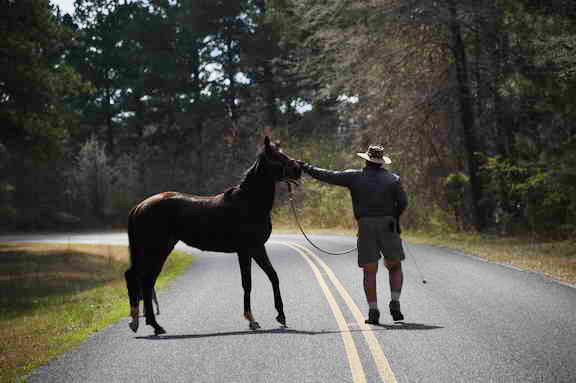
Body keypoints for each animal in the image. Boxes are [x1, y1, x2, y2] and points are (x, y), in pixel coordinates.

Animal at [125, 136, 302, 334]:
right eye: (276, 156)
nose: (298, 169)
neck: (248, 202)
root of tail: (139, 206)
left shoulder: (257, 248)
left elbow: (273, 276)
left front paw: (281, 316)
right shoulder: (245, 250)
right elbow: (247, 283)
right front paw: (251, 320)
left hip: (160, 250)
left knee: (147, 281)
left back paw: (153, 325)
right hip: (154, 249)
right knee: (138, 278)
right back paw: (143, 323)